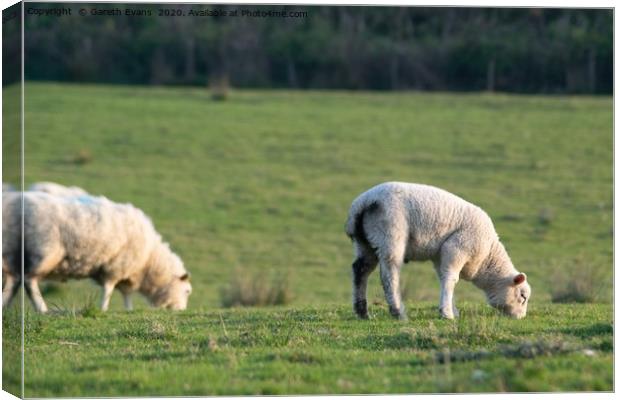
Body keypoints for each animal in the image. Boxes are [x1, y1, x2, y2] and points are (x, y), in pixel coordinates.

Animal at [1, 191, 191, 312]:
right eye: (187, 291)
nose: (181, 311)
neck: (150, 260)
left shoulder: (126, 273)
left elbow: (126, 294)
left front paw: (128, 310)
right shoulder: (115, 267)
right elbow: (109, 290)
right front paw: (103, 309)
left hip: (15, 254)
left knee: (15, 281)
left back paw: (6, 305)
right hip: (43, 251)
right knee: (29, 281)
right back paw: (42, 308)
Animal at [346, 183, 532, 320]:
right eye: (522, 296)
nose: (521, 318)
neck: (487, 259)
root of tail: (364, 202)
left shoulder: (440, 255)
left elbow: (444, 278)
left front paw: (452, 309)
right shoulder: (457, 248)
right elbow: (451, 279)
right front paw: (447, 314)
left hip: (365, 242)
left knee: (360, 270)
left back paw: (362, 312)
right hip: (390, 234)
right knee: (389, 275)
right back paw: (398, 312)